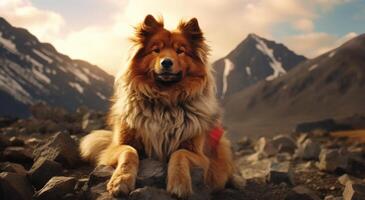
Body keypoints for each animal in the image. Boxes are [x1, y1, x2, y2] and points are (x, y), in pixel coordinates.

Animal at [79, 14, 233, 198]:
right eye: (156, 50)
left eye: (180, 51)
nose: (166, 62)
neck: (165, 101)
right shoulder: (115, 147)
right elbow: (129, 152)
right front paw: (121, 180)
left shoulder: (199, 154)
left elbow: (179, 154)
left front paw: (179, 183)